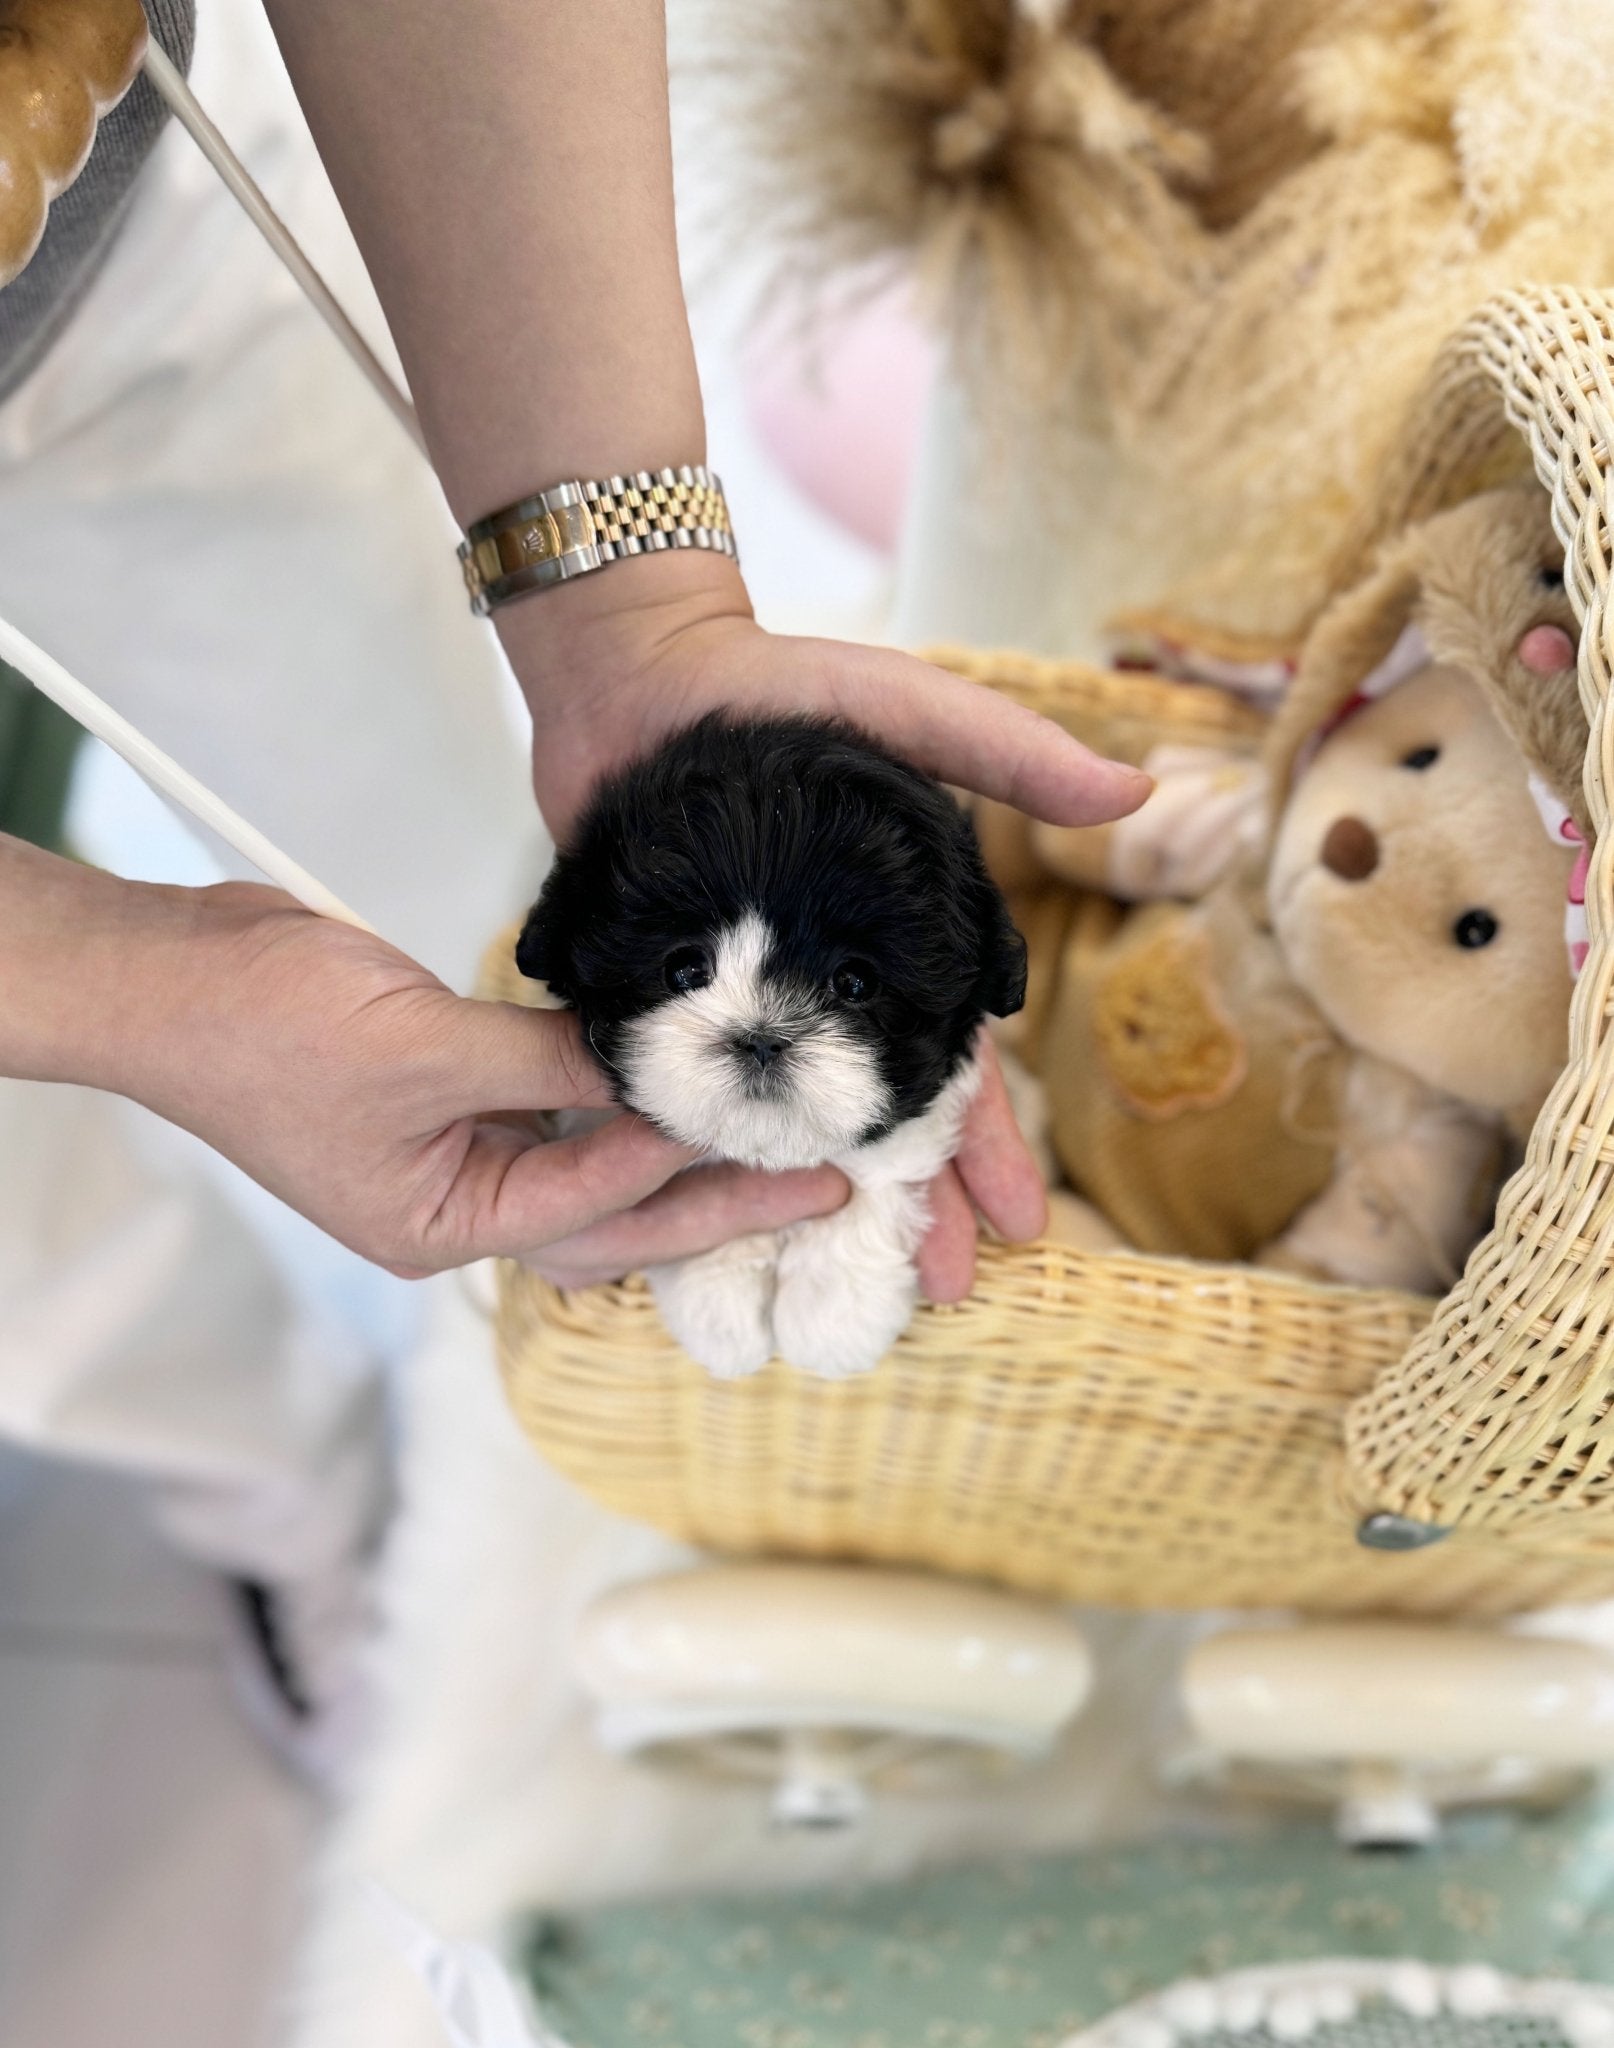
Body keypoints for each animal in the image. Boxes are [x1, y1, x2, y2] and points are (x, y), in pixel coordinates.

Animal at [516, 716, 1020, 1376]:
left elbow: (877, 1179)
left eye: (855, 983)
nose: (760, 1039)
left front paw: (832, 1325)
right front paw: (721, 1312)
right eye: (684, 969)